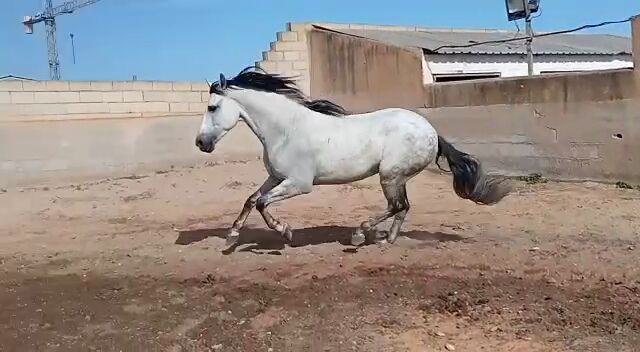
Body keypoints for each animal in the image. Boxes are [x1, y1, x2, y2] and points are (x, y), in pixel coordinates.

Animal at [194, 66, 510, 248]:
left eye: (212, 107)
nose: (200, 143)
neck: (286, 129)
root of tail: (431, 131)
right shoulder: (276, 177)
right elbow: (251, 199)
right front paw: (231, 237)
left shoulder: (299, 183)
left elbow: (262, 203)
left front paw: (285, 232)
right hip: (397, 177)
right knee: (403, 207)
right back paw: (387, 239)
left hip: (389, 175)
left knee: (397, 205)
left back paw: (362, 233)